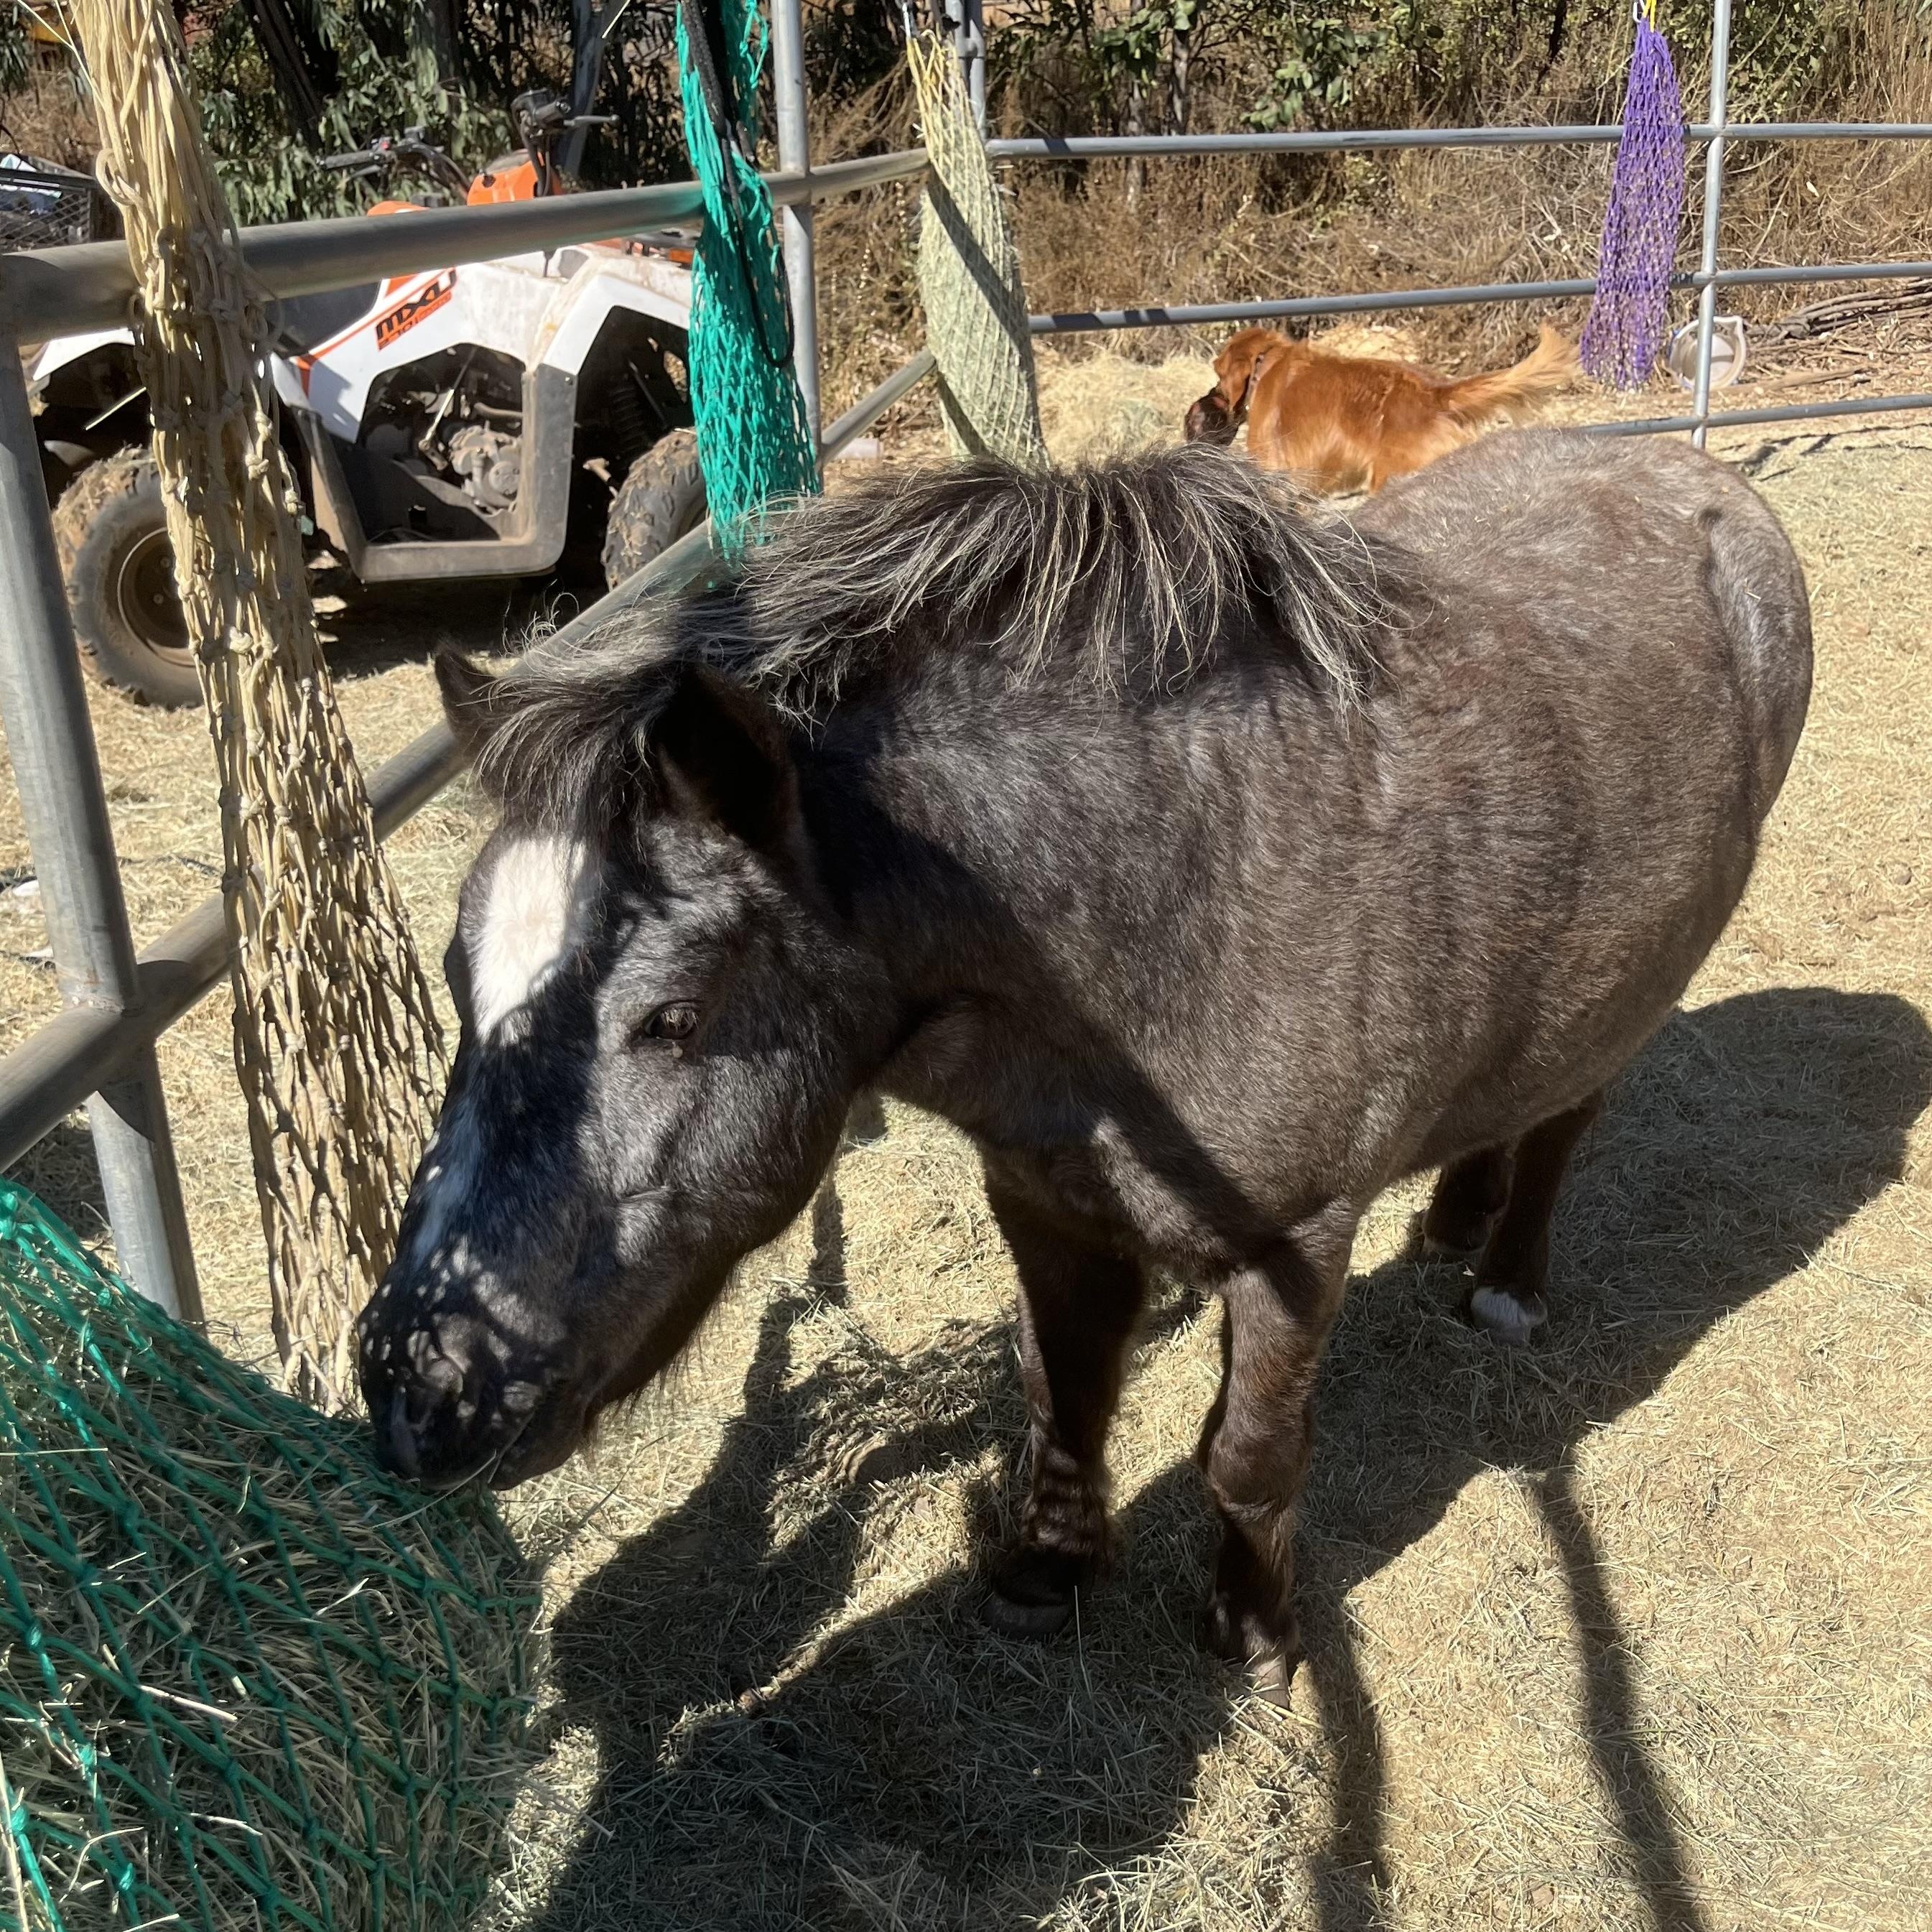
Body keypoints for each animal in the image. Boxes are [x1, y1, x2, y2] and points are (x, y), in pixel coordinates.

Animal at [357, 430, 1812, 1698]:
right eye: (459, 984)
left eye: (670, 1018)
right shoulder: (1048, 1207)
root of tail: (1700, 480)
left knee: (1567, 1120)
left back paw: (1506, 1277)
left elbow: (1249, 1457)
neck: (1167, 896)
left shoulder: (1297, 1246)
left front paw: (1254, 1633)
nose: (417, 1391)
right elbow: (1065, 1401)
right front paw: (1043, 1577)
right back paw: (1457, 1211)